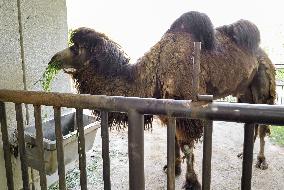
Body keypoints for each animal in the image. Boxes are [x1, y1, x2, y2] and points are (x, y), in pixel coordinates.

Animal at [48, 11, 276, 189]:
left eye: (75, 47)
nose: (53, 59)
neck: (152, 72)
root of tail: (262, 53)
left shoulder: (187, 110)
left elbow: (186, 146)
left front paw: (192, 182)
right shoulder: (167, 108)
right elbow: (173, 139)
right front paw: (173, 168)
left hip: (264, 86)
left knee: (263, 125)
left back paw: (261, 161)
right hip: (244, 92)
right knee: (252, 122)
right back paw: (243, 154)